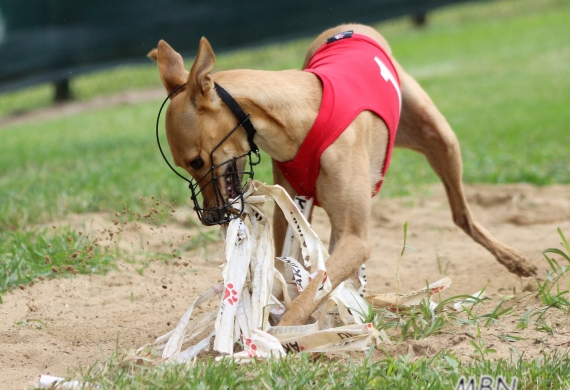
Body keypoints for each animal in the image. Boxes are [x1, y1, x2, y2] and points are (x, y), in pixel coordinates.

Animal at [149, 23, 536, 326]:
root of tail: (348, 27)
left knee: (461, 214)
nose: (212, 216)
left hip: (441, 139)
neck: (296, 121)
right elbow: (293, 279)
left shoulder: (356, 237)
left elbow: (308, 293)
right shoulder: (294, 213)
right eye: (186, 165)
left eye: (196, 161)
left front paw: (278, 337)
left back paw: (516, 260)